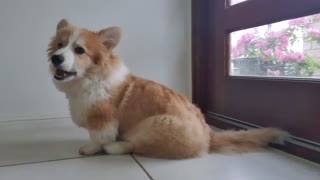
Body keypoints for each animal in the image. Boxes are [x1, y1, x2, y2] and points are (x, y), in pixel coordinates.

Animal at [47, 19, 288, 158]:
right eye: (60, 45)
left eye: (79, 50)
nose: (55, 58)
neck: (89, 78)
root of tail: (209, 136)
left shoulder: (102, 118)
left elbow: (99, 138)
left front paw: (91, 148)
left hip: (154, 124)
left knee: (138, 145)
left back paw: (116, 147)